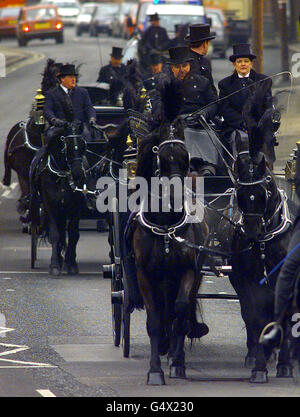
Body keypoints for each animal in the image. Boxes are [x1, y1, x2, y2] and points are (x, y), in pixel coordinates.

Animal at [30, 122, 87, 274]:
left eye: (83, 145)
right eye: (67, 145)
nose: (78, 174)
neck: (61, 175)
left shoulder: (75, 207)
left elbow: (73, 234)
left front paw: (71, 263)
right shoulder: (50, 205)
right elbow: (55, 234)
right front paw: (55, 264)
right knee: (58, 232)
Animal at [130, 117, 210, 384]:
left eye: (186, 157)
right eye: (161, 157)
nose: (175, 197)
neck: (166, 227)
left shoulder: (188, 270)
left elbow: (180, 310)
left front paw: (176, 361)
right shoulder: (145, 275)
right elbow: (154, 321)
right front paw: (155, 371)